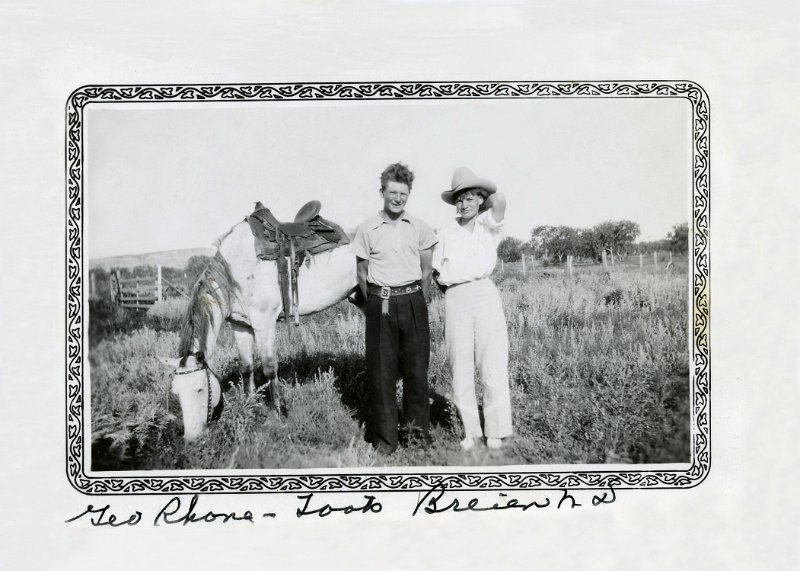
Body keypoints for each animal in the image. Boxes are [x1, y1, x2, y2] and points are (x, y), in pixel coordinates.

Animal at [159, 219, 360, 442]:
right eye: (176, 393)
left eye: (200, 389)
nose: (191, 438)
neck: (236, 271)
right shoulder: (240, 326)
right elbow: (246, 367)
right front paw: (249, 404)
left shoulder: (265, 323)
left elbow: (269, 367)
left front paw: (278, 414)